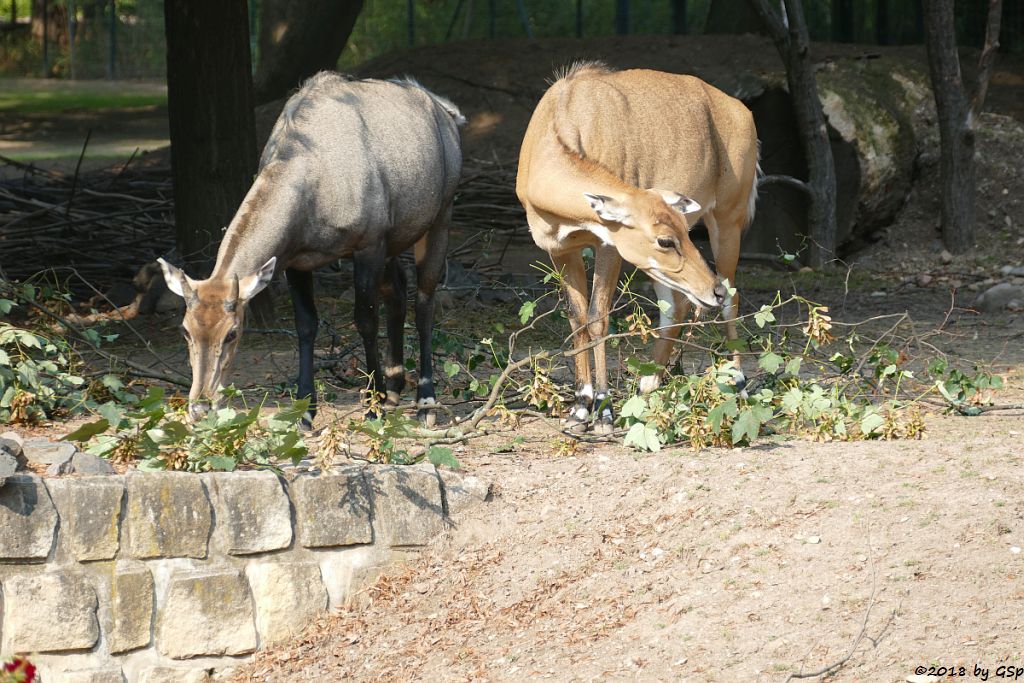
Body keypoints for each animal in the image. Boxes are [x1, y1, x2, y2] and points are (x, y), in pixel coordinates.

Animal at [158, 76, 464, 428]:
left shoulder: (368, 247)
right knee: (397, 293)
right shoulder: (297, 261)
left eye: (232, 333)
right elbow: (306, 325)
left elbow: (365, 321)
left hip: (439, 219)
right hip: (393, 244)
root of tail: (445, 110)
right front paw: (305, 411)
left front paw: (371, 408)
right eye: (186, 330)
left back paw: (425, 401)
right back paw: (393, 390)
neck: (313, 173)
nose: (201, 407)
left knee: (424, 301)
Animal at [516, 62, 757, 432]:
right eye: (666, 239)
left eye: (681, 234)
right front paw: (580, 408)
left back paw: (739, 384)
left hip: (728, 220)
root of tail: (741, 111)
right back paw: (648, 384)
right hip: (660, 266)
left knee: (731, 297)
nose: (711, 290)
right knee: (678, 305)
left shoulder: (608, 246)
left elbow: (598, 318)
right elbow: (577, 318)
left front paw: (602, 411)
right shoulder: (560, 249)